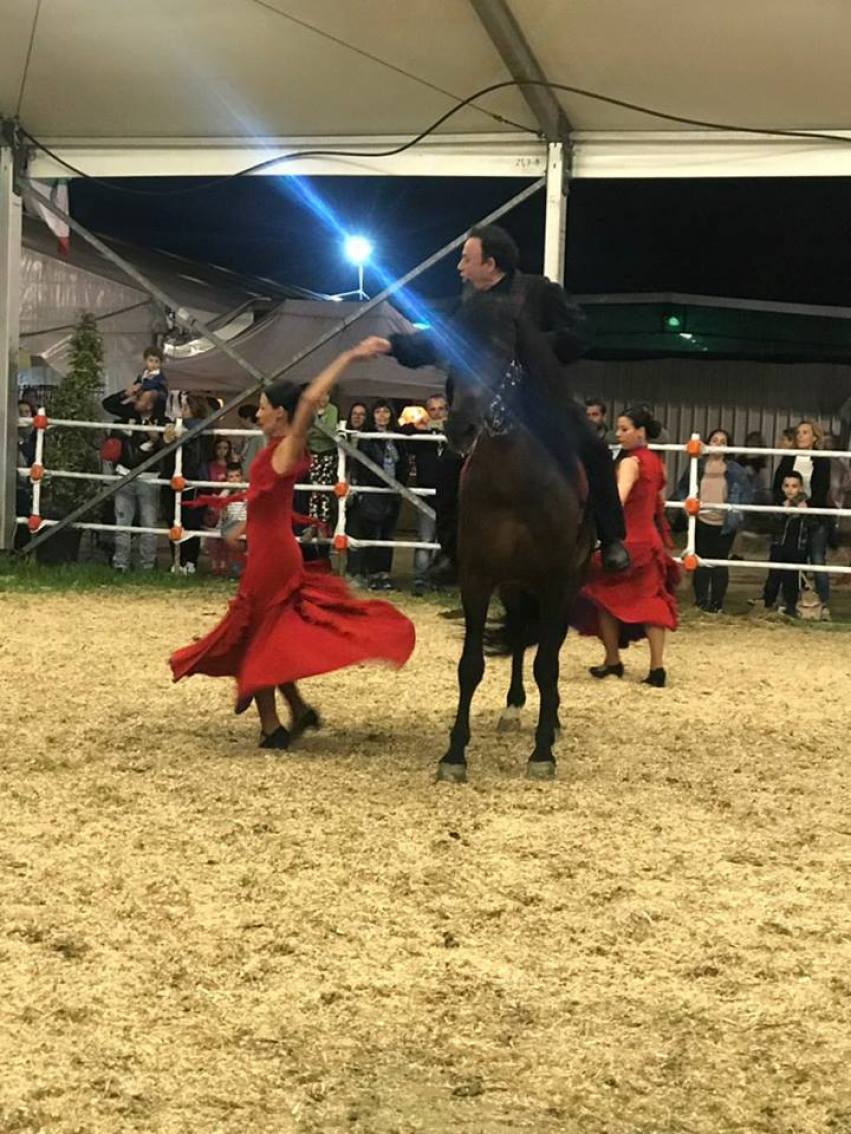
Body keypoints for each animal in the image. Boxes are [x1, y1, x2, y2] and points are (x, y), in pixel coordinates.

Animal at [438, 315, 594, 783]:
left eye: (498, 353)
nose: (461, 429)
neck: (513, 485)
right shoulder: (477, 577)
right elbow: (470, 665)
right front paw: (454, 754)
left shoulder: (556, 580)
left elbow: (548, 662)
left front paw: (542, 752)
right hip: (514, 586)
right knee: (524, 634)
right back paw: (513, 707)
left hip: (565, 582)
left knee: (548, 643)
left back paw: (552, 720)